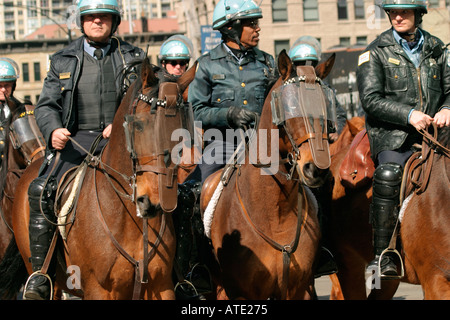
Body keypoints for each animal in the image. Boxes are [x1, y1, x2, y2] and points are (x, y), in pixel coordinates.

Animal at [200, 50, 334, 300]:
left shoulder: (299, 288)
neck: (275, 212)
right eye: (290, 106)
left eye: (325, 105)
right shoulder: (243, 293)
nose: (316, 169)